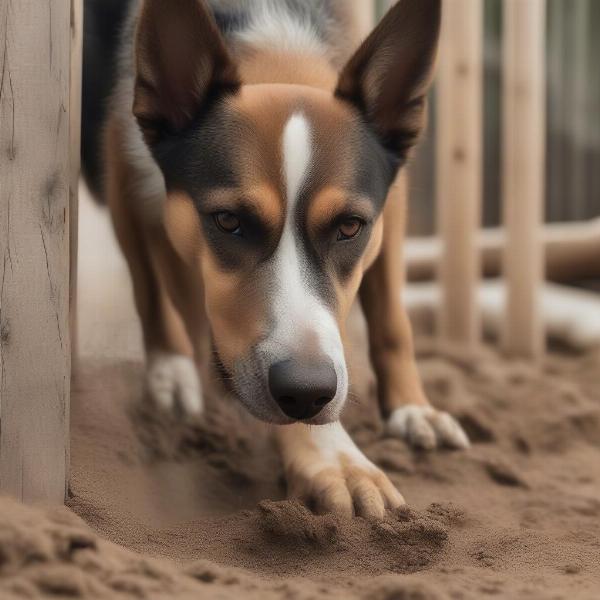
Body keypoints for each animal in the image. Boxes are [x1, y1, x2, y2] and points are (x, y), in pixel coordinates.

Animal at [82, 0, 468, 516]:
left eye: (350, 226)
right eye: (228, 220)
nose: (307, 392)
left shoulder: (391, 201)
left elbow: (391, 321)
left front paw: (410, 407)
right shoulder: (123, 163)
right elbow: (154, 291)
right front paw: (332, 457)